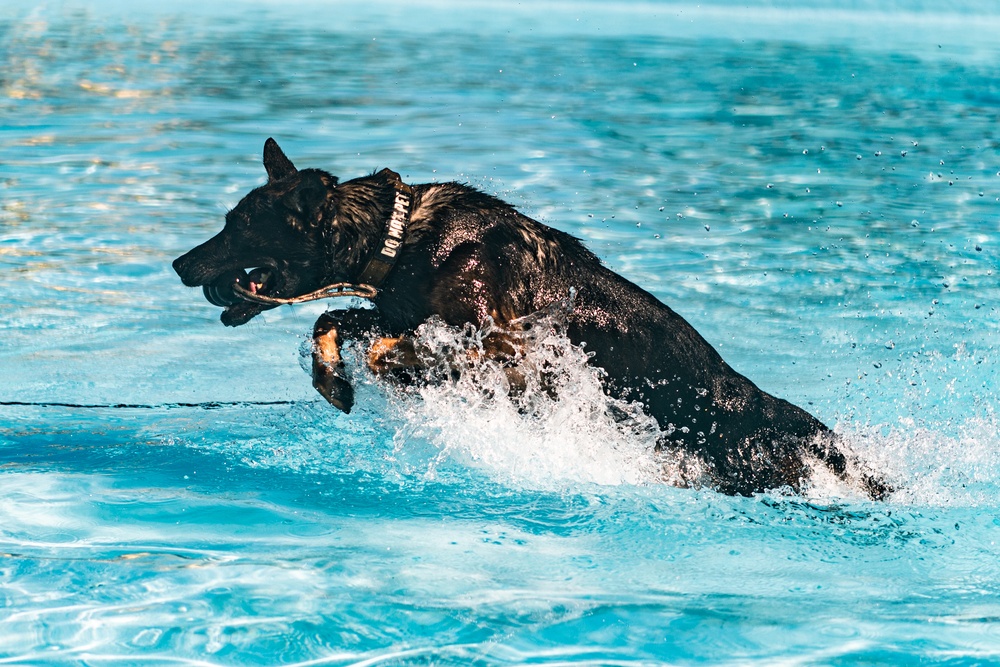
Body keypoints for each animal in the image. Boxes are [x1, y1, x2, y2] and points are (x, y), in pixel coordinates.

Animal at [174, 138, 892, 498]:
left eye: (239, 226)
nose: (179, 263)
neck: (399, 239)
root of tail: (779, 415)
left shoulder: (503, 349)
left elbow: (384, 345)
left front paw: (396, 374)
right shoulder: (395, 308)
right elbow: (334, 322)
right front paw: (334, 382)